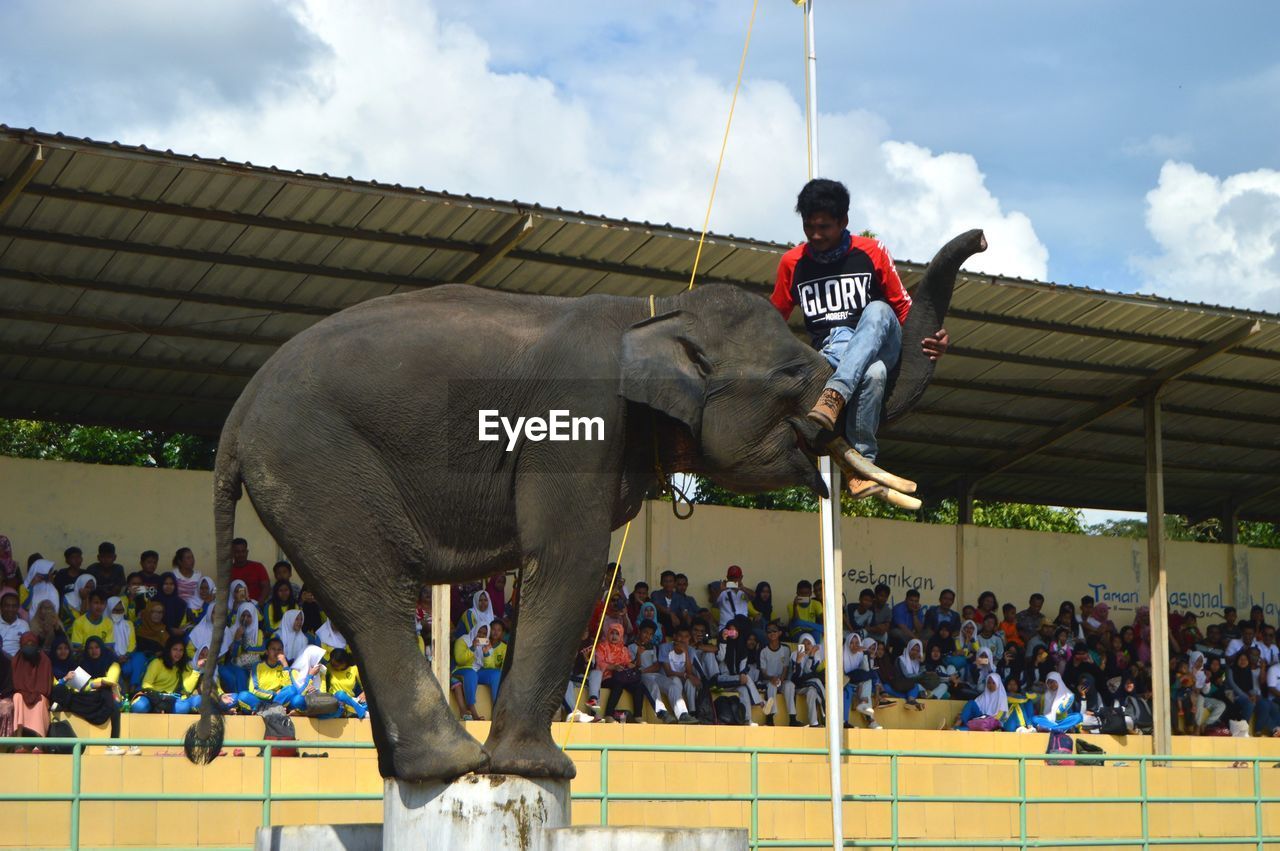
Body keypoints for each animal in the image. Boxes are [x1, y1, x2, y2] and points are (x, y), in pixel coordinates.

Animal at [189, 227, 988, 783]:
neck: (655, 312)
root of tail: (237, 416)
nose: (981, 238)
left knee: (353, 594)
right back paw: (453, 765)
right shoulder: (576, 418)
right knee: (375, 592)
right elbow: (569, 561)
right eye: (796, 375)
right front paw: (539, 770)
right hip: (315, 461)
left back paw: (410, 771)